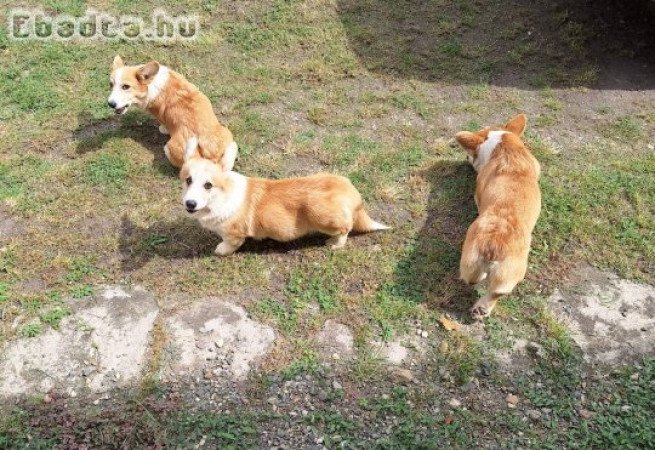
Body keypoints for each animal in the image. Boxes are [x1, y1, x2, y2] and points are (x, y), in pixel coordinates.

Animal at [107, 55, 238, 171]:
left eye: (126, 86)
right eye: (111, 84)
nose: (110, 104)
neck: (151, 84)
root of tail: (211, 158)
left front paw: (163, 129)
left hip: (169, 148)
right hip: (229, 138)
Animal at [179, 141, 390, 255]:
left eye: (208, 185)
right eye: (188, 180)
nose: (190, 203)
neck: (221, 197)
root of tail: (353, 193)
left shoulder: (233, 234)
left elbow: (229, 244)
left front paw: (220, 250)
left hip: (321, 216)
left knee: (345, 229)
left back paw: (334, 244)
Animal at [456, 115, 544, 320]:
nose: (466, 157)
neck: (504, 147)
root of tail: (495, 244)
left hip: (472, 262)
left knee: (478, 283)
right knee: (494, 292)